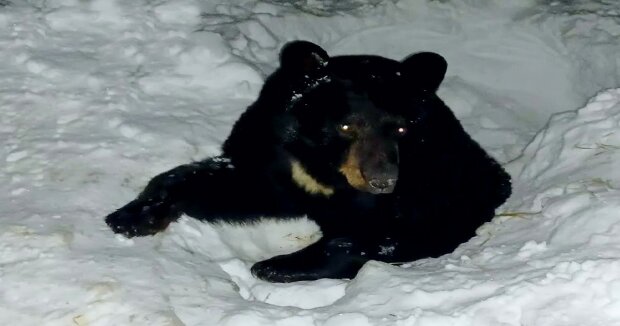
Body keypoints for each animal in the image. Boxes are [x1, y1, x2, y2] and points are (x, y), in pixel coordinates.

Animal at [106, 40, 512, 282]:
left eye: (401, 128)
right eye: (346, 125)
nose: (382, 181)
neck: (325, 170)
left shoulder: (420, 181)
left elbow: (393, 230)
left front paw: (276, 265)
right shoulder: (274, 156)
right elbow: (229, 183)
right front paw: (130, 217)